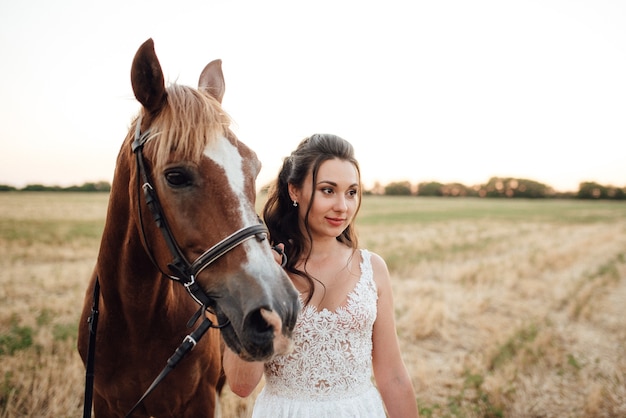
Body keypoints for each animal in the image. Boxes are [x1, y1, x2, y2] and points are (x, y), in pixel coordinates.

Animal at [77, 38, 298, 414]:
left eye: (254, 167)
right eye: (176, 176)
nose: (277, 311)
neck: (135, 322)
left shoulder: (201, 400)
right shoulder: (106, 405)